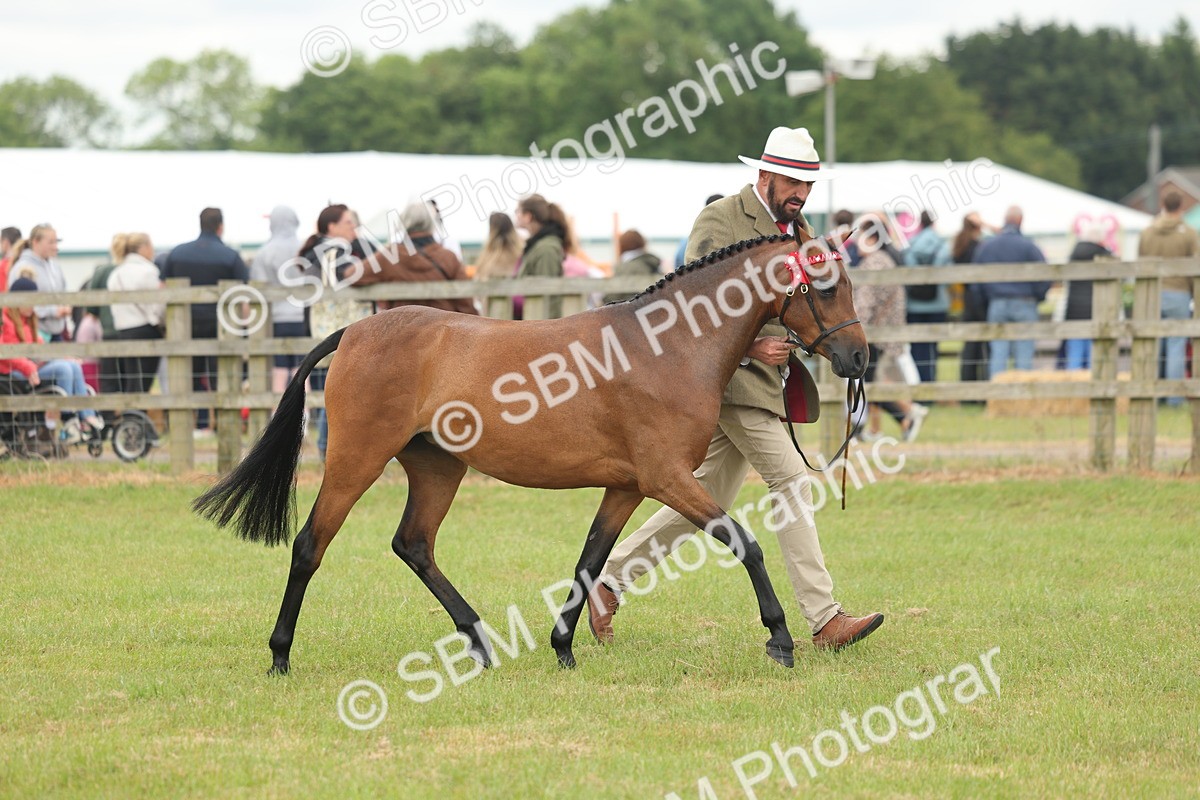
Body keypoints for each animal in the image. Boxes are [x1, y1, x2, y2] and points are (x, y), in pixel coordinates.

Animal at [193, 229, 868, 675]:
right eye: (826, 285)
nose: (859, 358)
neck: (666, 345)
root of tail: (357, 329)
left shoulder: (627, 485)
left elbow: (590, 560)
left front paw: (564, 646)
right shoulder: (667, 477)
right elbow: (744, 542)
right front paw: (780, 639)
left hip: (438, 467)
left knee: (414, 544)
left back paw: (480, 643)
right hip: (355, 460)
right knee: (311, 545)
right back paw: (280, 655)